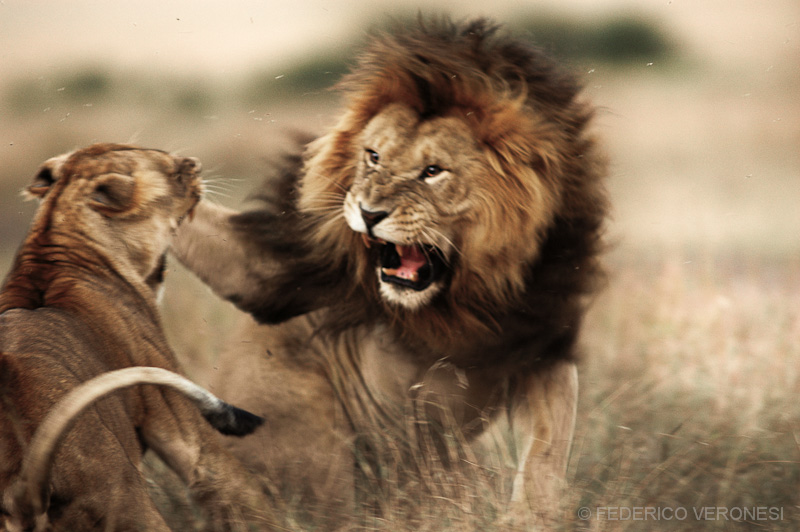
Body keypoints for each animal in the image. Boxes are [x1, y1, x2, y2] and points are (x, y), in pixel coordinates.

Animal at [0, 144, 271, 531]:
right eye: (175, 172)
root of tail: (20, 493)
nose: (195, 165)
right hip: (129, 503)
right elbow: (236, 488)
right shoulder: (184, 428)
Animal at [173, 18, 608, 527]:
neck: (458, 302)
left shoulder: (541, 343)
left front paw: (526, 518)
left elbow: (546, 449)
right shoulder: (289, 269)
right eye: (373, 156)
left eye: (433, 171)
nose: (367, 212)